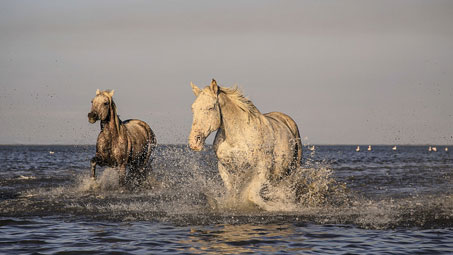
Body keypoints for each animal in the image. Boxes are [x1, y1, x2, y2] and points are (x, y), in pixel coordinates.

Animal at [189, 79, 302, 209]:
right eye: (193, 108)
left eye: (210, 107)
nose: (194, 142)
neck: (238, 137)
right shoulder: (225, 167)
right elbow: (232, 193)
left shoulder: (262, 168)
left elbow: (253, 196)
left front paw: (277, 207)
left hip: (292, 169)